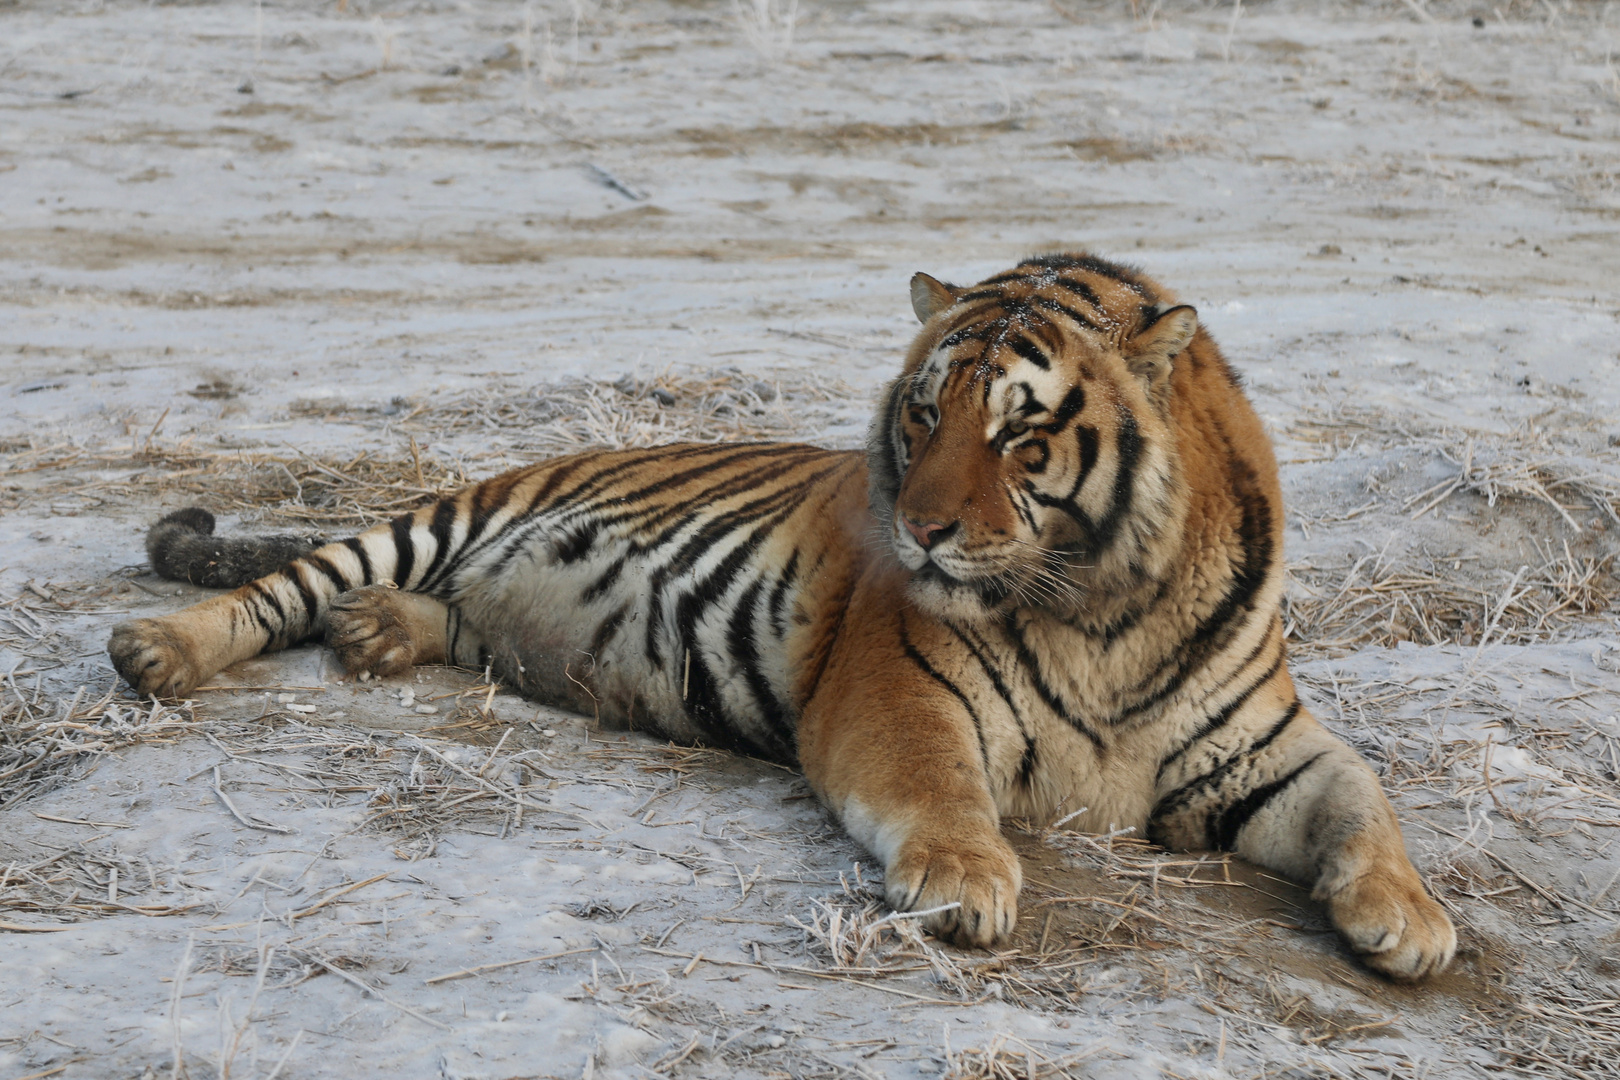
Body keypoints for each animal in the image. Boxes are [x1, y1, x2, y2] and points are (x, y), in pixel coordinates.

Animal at [107, 250, 1464, 977]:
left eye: (1017, 434)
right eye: (923, 413)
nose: (921, 527)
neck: (1103, 608)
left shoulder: (1266, 743)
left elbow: (1366, 798)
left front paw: (1413, 920)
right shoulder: (901, 689)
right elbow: (941, 787)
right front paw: (966, 879)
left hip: (495, 608)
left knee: (448, 617)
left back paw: (382, 631)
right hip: (440, 517)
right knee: (276, 589)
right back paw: (158, 650)